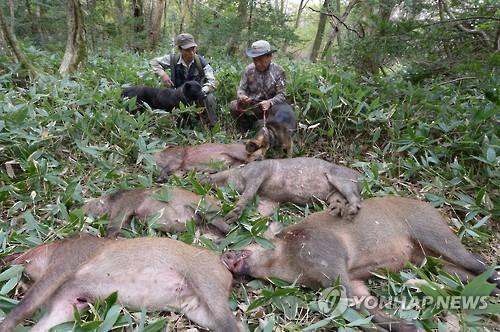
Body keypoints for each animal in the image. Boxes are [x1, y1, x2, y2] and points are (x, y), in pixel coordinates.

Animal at [0, 237, 239, 330]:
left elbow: (25, 306)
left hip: (206, 281)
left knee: (231, 324)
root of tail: (223, 265)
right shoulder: (69, 300)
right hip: (197, 308)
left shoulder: (66, 262)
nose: (8, 259)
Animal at [224, 196, 500, 330]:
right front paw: (411, 327)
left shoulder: (327, 255)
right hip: (427, 259)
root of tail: (433, 208)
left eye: (252, 239)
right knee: (462, 274)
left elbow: (351, 297)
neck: (292, 266)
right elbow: (363, 302)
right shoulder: (350, 279)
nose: (224, 254)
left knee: (475, 261)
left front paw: (415, 328)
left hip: (432, 231)